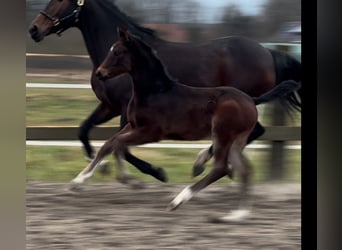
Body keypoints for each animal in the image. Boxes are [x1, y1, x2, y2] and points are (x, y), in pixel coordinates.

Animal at [30, 0, 302, 184]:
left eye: (60, 0)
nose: (34, 29)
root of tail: (268, 51)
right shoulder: (109, 106)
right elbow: (84, 130)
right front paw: (98, 164)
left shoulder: (127, 112)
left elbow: (122, 145)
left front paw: (157, 172)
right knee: (254, 133)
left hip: (240, 103)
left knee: (255, 131)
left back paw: (202, 164)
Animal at [71, 28, 300, 221]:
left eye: (117, 52)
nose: (100, 73)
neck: (155, 92)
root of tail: (252, 100)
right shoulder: (133, 126)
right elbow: (109, 144)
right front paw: (78, 182)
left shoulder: (151, 132)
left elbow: (118, 144)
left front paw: (129, 179)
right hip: (236, 140)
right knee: (244, 170)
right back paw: (237, 215)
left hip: (222, 134)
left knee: (221, 167)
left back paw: (178, 200)